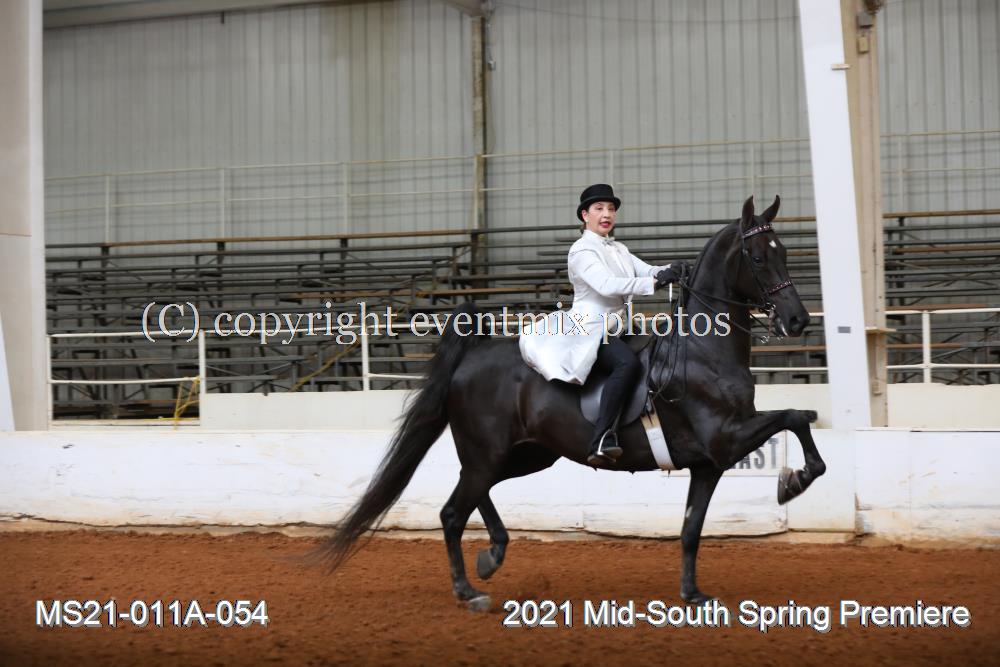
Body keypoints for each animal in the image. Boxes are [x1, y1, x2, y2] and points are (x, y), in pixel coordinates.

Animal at [320, 195, 826, 611]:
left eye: (783, 252)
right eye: (758, 257)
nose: (798, 321)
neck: (704, 351)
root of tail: (474, 353)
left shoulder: (708, 463)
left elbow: (690, 530)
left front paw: (694, 594)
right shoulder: (725, 438)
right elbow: (795, 416)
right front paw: (794, 482)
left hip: (527, 455)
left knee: (472, 494)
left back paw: (493, 555)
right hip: (491, 453)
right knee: (452, 511)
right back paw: (470, 590)